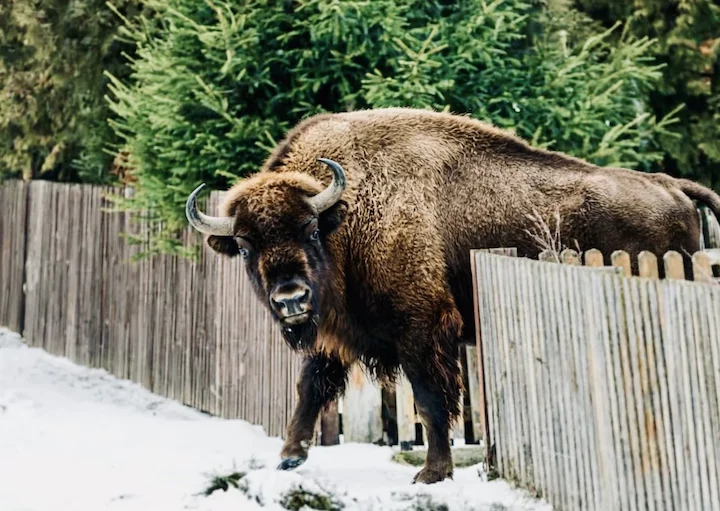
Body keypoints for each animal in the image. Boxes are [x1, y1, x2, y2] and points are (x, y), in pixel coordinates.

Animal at [185, 107, 720, 484]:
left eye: (310, 229)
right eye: (246, 245)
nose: (291, 297)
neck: (348, 212)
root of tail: (671, 185)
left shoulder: (421, 328)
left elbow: (429, 399)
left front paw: (431, 473)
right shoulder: (337, 335)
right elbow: (310, 386)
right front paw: (289, 457)